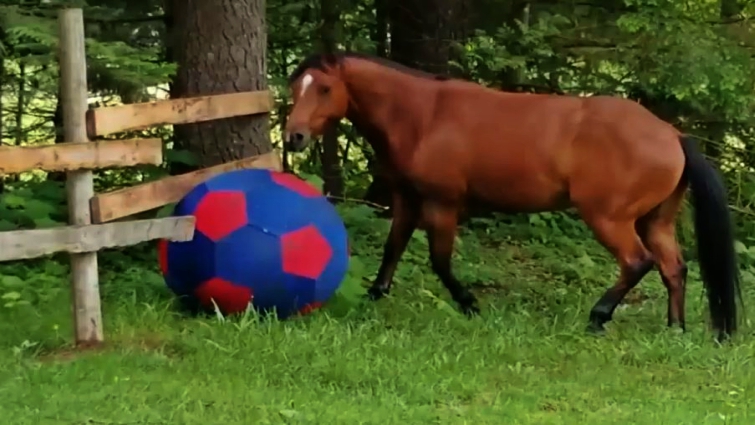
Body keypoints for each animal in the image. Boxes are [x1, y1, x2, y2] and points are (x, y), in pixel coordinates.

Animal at [283, 51, 742, 341]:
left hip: (609, 218)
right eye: (295, 87)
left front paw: (469, 304)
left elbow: (440, 261)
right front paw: (372, 299)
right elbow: (392, 251)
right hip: (655, 220)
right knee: (673, 268)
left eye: (324, 88)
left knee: (637, 262)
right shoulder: (408, 201)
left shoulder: (442, 205)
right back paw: (675, 329)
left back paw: (598, 318)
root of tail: (672, 134)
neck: (424, 117)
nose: (294, 137)